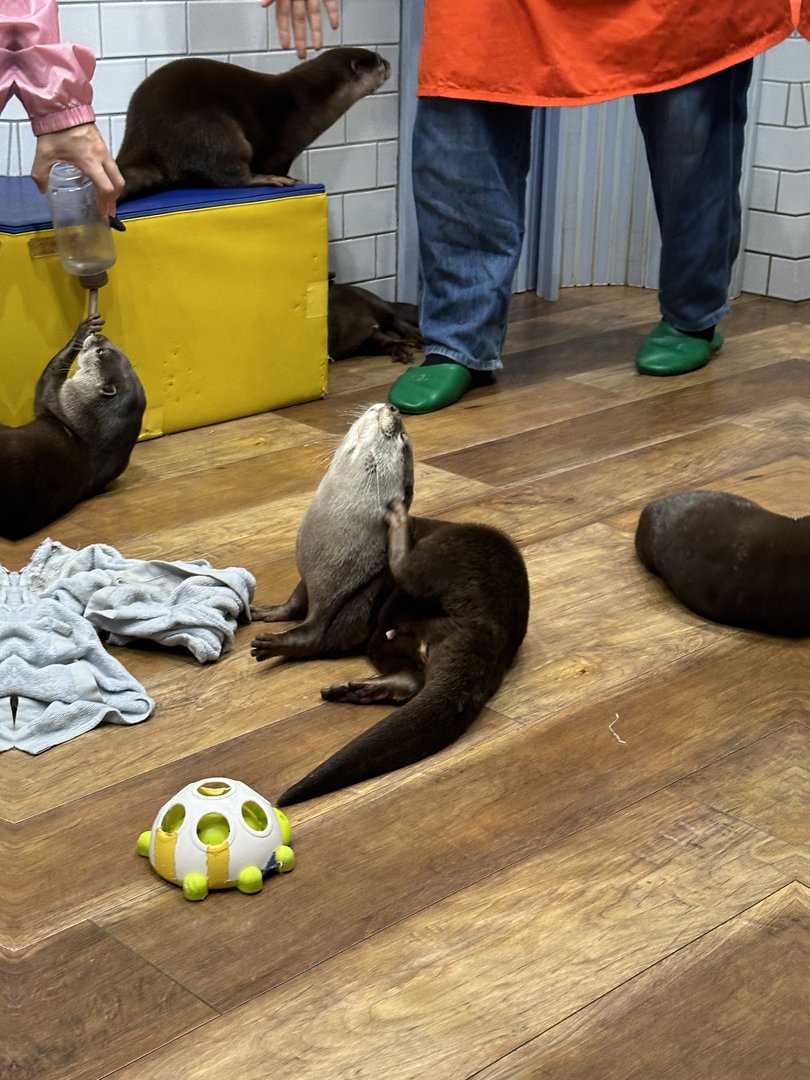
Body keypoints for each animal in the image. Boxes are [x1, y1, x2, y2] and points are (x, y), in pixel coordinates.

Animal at [115, 46, 390, 200]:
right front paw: (288, 178)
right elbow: (274, 161)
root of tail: (142, 140)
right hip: (211, 131)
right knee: (230, 173)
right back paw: (267, 179)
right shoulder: (283, 146)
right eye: (377, 60)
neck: (309, 101)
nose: (389, 63)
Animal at [253, 403, 533, 803]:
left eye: (402, 440)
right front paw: (263, 611)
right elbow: (294, 602)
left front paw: (274, 642)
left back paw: (399, 523)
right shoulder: (308, 581)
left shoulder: (345, 599)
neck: (330, 542)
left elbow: (315, 636)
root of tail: (492, 632)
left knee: (409, 570)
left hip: (461, 553)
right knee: (411, 678)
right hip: (389, 637)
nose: (393, 408)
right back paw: (360, 689)